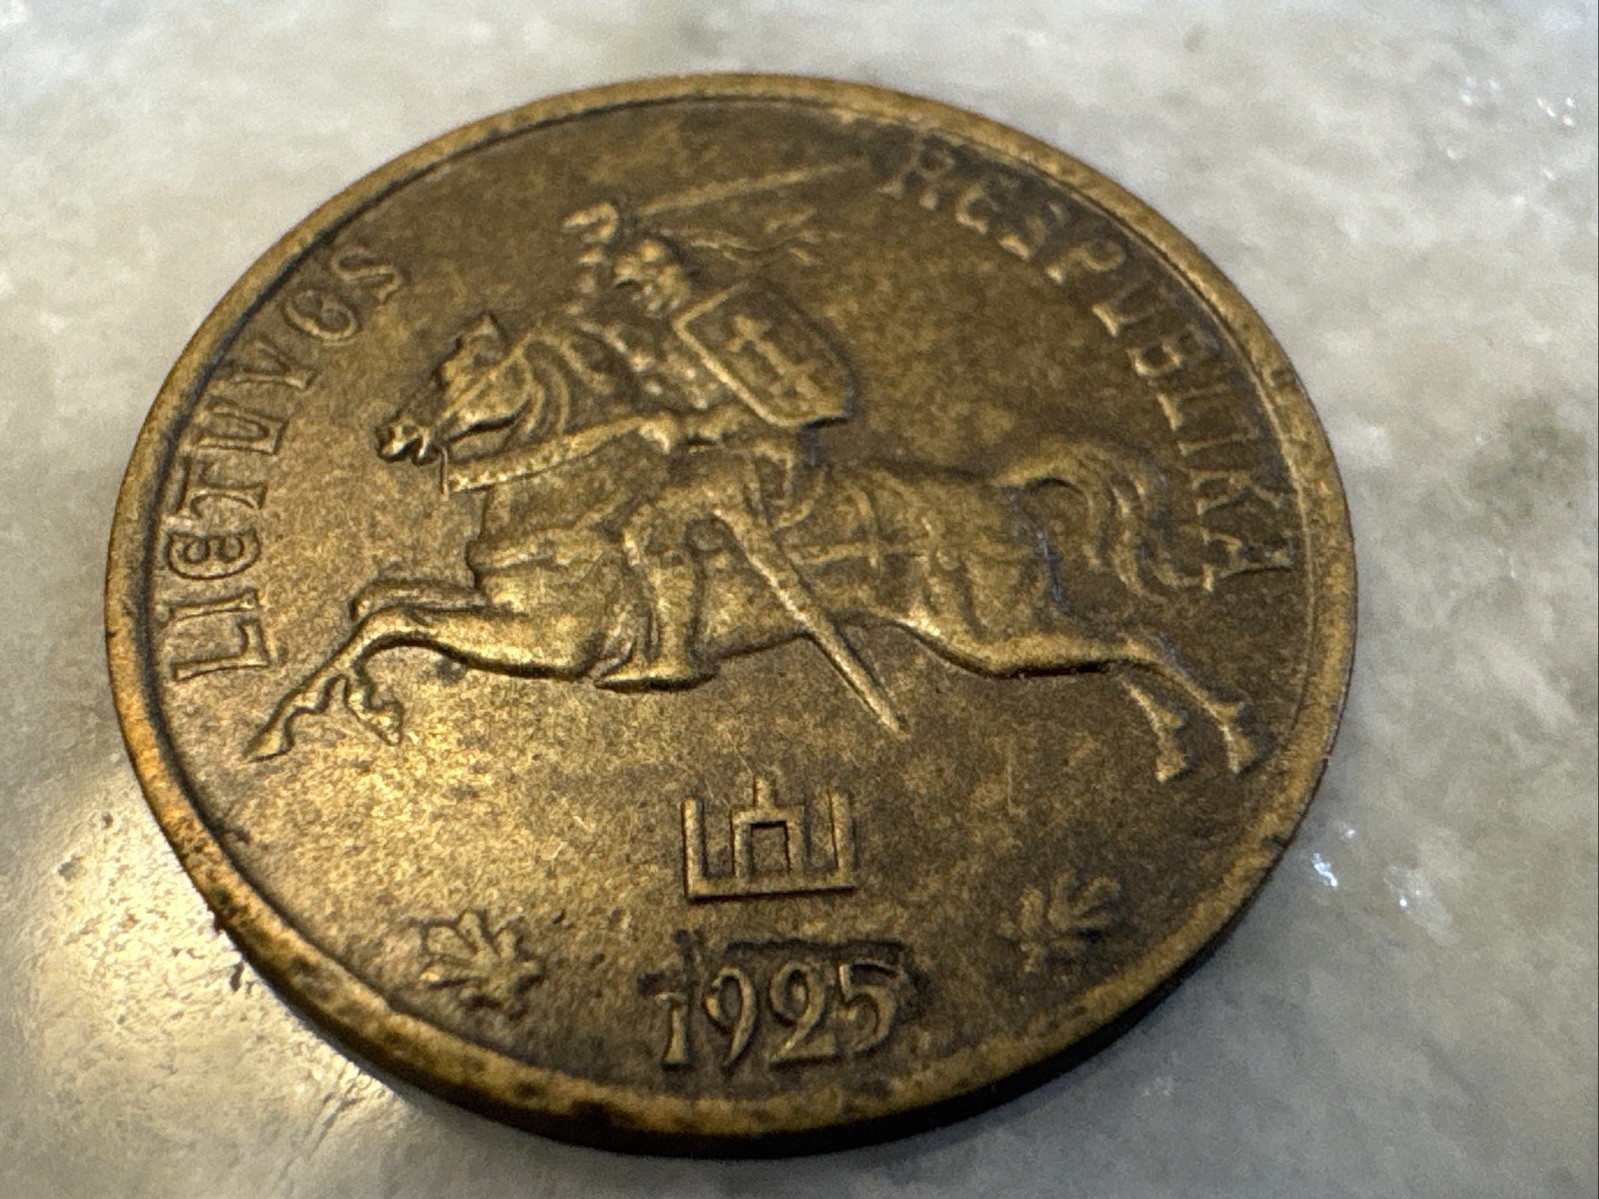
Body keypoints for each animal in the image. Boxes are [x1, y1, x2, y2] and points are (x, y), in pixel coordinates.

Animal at [246, 311, 1257, 782]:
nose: (395, 436)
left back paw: (1233, 734)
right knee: (1113, 647)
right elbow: (376, 602)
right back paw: (1175, 747)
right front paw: (332, 704)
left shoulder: (548, 640)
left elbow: (393, 620)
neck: (571, 490)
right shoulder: (498, 606)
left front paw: (294, 717)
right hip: (1006, 629)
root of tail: (1001, 487)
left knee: (1139, 637)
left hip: (991, 633)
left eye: (461, 368)